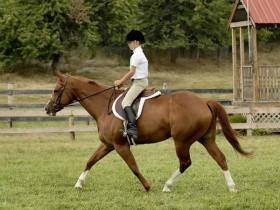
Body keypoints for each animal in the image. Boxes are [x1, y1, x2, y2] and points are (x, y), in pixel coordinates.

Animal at [44, 72, 253, 192]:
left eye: (56, 90)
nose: (47, 109)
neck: (104, 106)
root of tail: (204, 101)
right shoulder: (107, 144)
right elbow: (90, 161)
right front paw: (78, 184)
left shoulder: (120, 146)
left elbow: (133, 167)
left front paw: (147, 186)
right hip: (206, 138)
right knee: (220, 158)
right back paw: (231, 187)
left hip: (182, 140)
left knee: (185, 162)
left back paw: (167, 186)